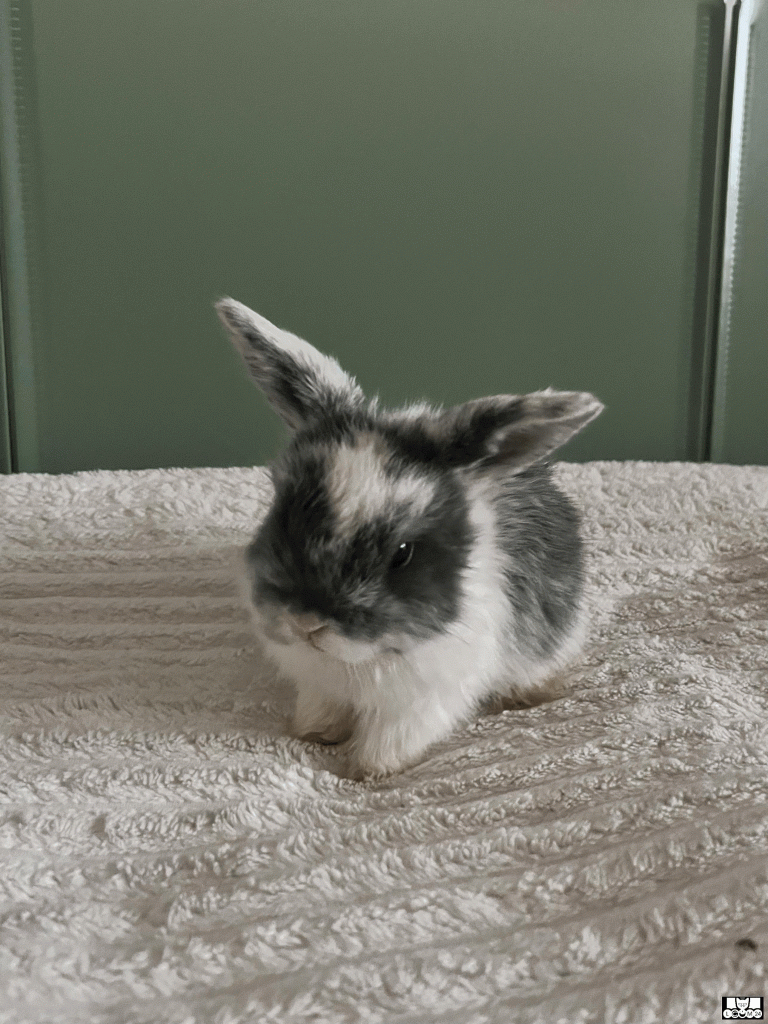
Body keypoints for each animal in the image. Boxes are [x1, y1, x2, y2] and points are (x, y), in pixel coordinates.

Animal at [216, 297, 603, 779]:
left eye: (402, 554)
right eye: (283, 513)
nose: (306, 623)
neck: (359, 660)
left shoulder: (424, 701)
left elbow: (391, 739)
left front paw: (366, 771)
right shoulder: (319, 684)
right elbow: (322, 709)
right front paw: (314, 734)